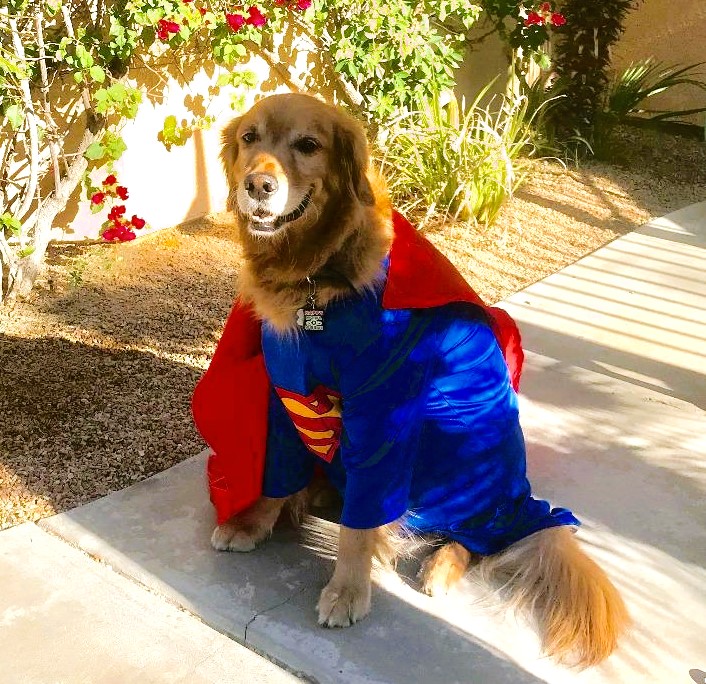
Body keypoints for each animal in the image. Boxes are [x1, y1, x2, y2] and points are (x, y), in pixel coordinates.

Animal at [192, 92, 628, 668]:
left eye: (308, 145)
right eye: (249, 138)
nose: (258, 185)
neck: (316, 278)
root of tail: (520, 493)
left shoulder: (385, 412)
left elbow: (360, 527)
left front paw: (348, 589)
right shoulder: (285, 392)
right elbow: (274, 475)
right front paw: (253, 521)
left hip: (459, 446)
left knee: (488, 534)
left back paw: (442, 565)